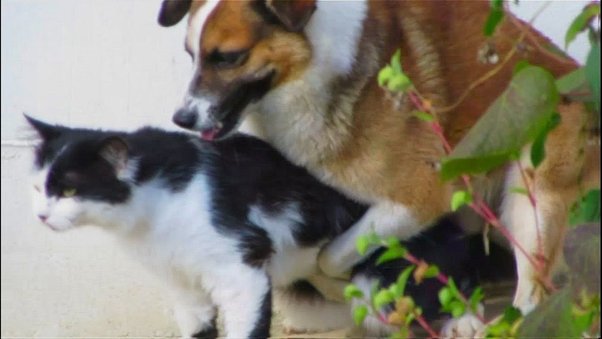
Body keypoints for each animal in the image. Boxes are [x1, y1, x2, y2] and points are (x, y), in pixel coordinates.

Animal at [28, 115, 512, 338]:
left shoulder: (239, 270)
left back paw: (465, 321)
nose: (41, 216)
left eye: (68, 190)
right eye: (38, 187)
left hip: (383, 272)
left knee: (442, 285)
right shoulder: (183, 286)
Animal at [157, 0, 596, 332]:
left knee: (531, 294)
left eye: (228, 58)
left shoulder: (418, 200)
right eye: (191, 56)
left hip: (532, 192)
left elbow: (329, 256)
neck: (316, 70)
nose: (182, 118)